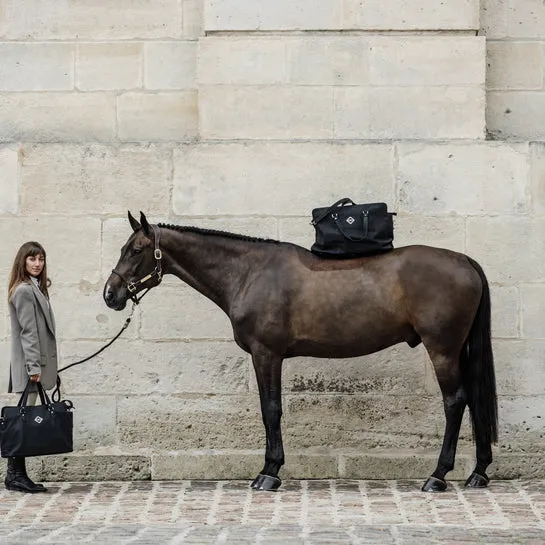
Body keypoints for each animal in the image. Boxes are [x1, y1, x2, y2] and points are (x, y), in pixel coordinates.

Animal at [103, 210, 498, 490]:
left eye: (135, 250)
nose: (110, 294)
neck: (248, 272)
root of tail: (464, 260)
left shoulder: (266, 354)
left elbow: (271, 410)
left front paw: (269, 472)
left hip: (443, 350)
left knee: (455, 402)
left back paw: (438, 476)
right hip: (459, 350)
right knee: (474, 399)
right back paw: (478, 473)